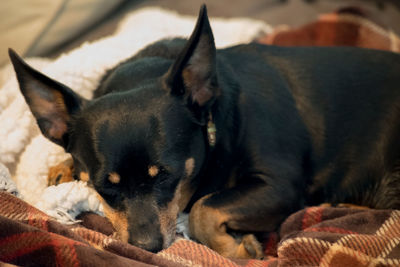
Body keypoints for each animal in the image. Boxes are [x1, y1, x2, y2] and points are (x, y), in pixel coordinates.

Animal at [7, 4, 400, 260]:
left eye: (167, 176)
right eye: (106, 188)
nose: (147, 248)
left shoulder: (281, 185)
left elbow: (203, 209)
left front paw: (236, 249)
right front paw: (63, 167)